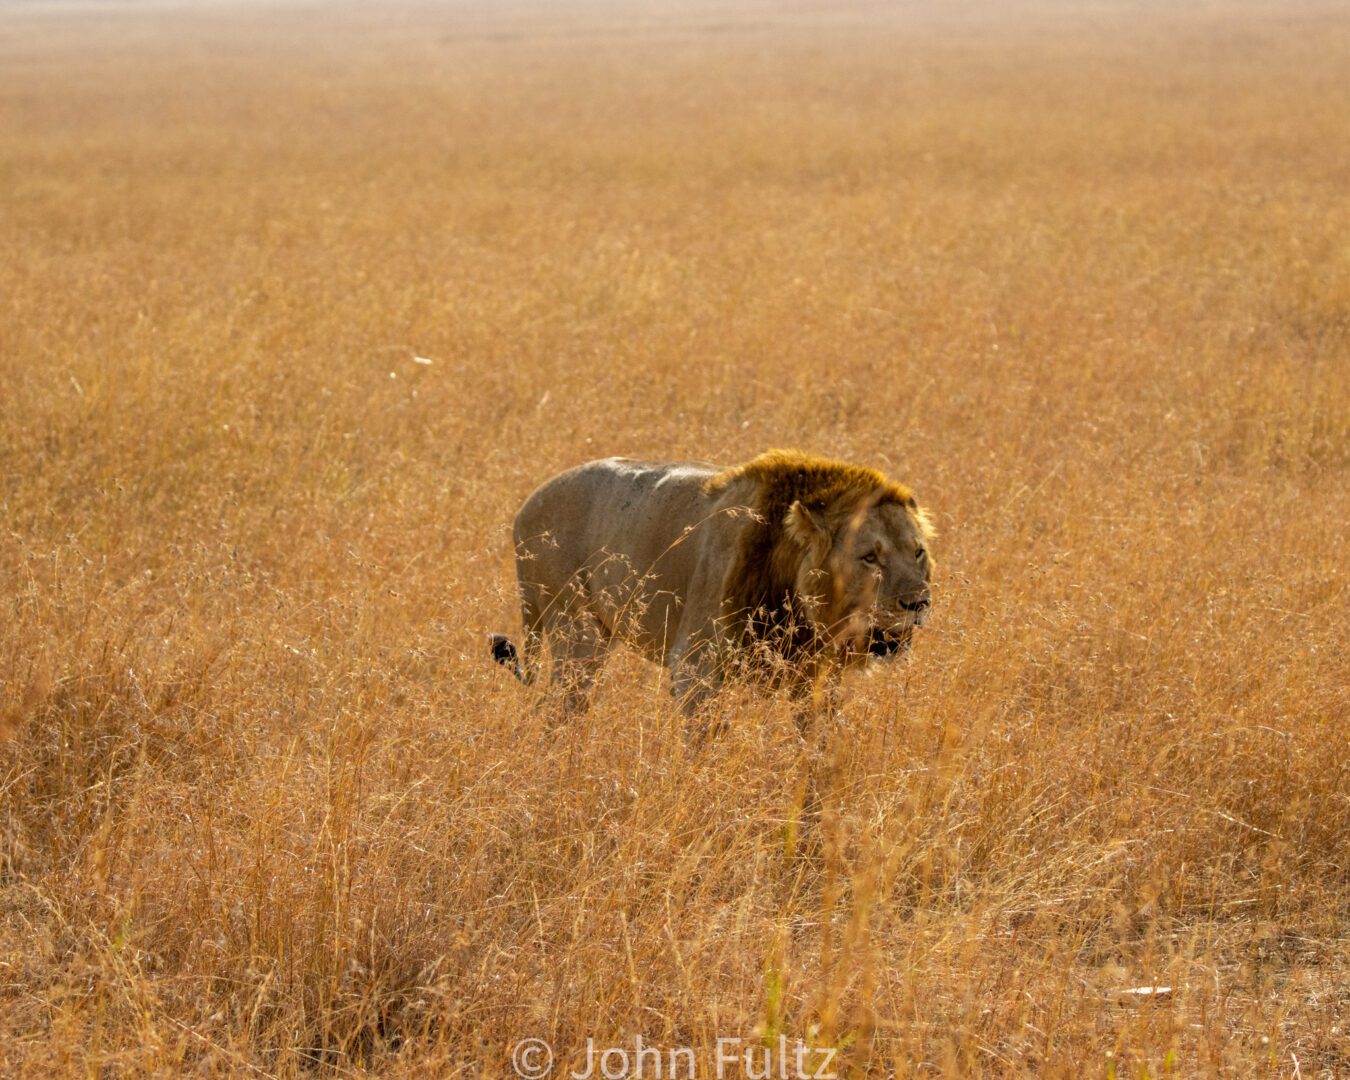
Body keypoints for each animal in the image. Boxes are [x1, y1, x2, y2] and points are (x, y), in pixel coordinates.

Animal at [491, 448, 934, 718]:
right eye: (870, 557)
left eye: (918, 552)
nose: (918, 603)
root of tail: (524, 508)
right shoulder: (694, 668)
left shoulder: (814, 680)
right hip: (577, 634)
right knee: (559, 710)